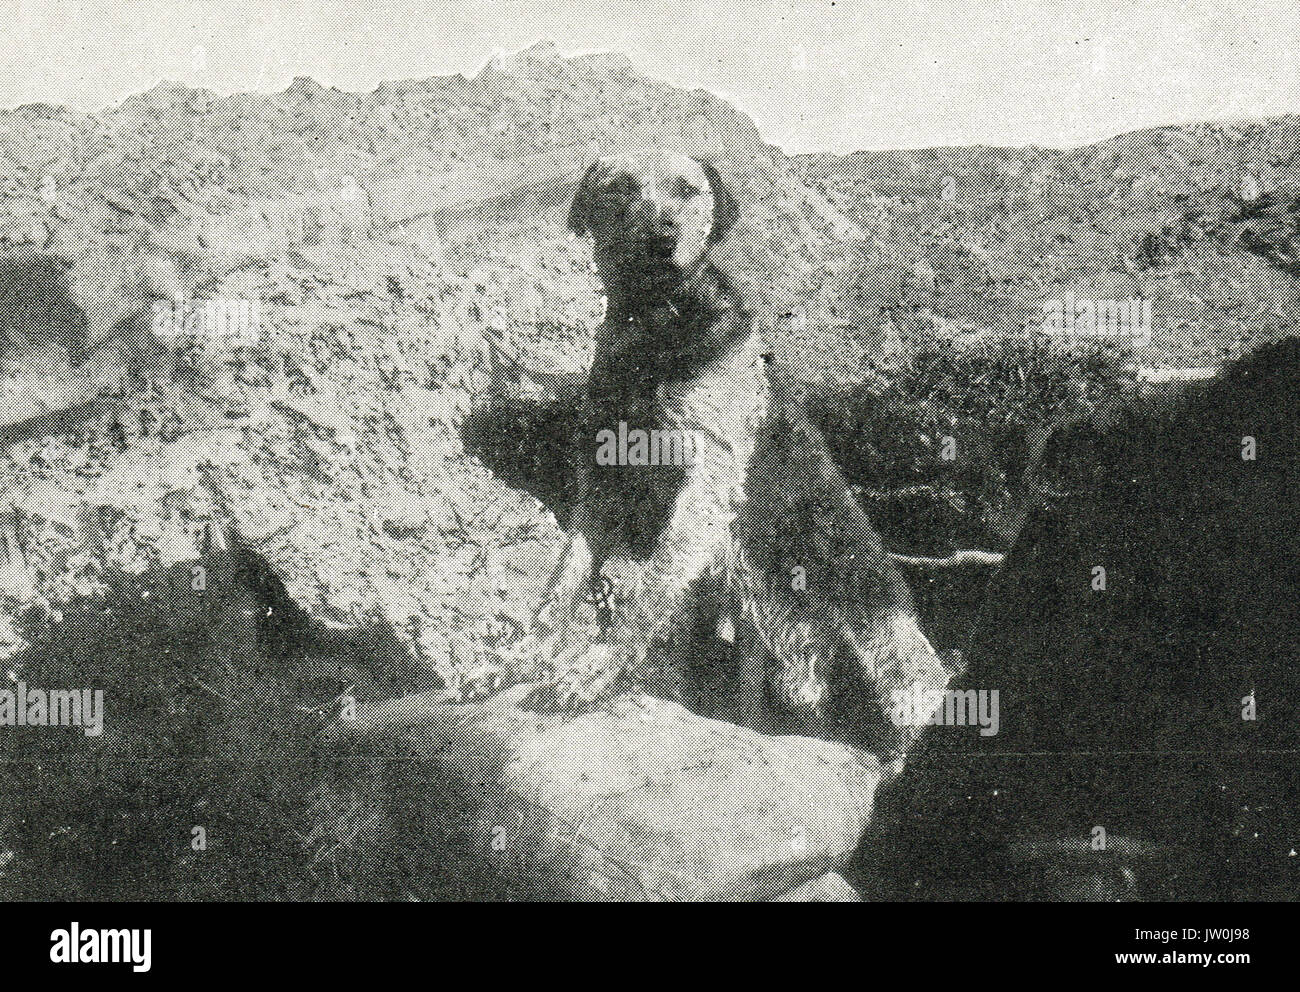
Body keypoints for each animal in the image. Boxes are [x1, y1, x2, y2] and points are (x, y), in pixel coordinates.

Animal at [520, 147, 946, 754]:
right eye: (620, 187)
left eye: (688, 189)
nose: (661, 238)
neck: (656, 329)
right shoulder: (603, 479)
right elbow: (568, 571)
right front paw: (533, 645)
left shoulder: (703, 480)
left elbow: (646, 590)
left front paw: (597, 664)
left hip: (874, 646)